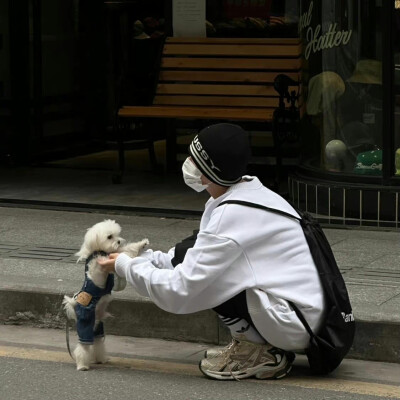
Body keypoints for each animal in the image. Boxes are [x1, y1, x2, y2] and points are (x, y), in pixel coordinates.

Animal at [63, 220, 149, 370]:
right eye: (109, 237)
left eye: (117, 234)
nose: (119, 241)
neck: (97, 250)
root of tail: (74, 305)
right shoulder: (103, 260)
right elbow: (123, 252)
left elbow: (124, 250)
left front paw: (142, 244)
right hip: (86, 322)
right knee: (83, 347)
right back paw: (82, 365)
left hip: (98, 327)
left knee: (97, 343)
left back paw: (100, 359)